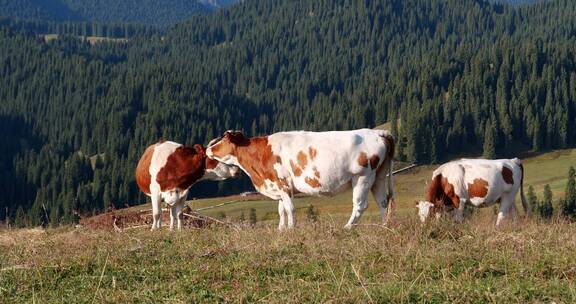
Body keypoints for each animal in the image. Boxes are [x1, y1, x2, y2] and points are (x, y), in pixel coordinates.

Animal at [204, 127, 396, 228]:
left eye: (223, 139)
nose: (208, 149)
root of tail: (377, 132)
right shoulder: (278, 187)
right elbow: (281, 210)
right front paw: (281, 229)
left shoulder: (283, 184)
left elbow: (289, 209)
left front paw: (291, 229)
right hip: (378, 177)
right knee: (382, 202)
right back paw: (384, 227)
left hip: (362, 177)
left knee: (360, 205)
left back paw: (348, 227)